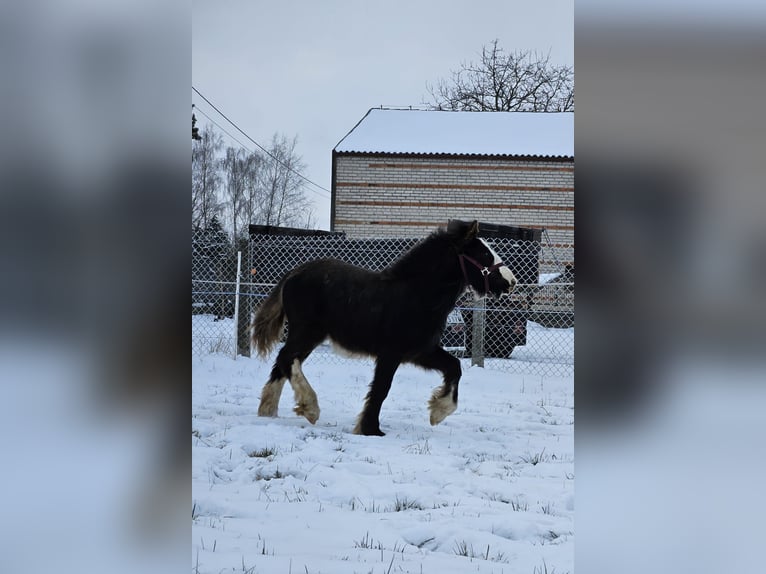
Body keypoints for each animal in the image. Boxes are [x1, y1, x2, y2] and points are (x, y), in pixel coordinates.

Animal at [255, 220, 520, 436]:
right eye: (484, 253)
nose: (511, 281)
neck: (417, 295)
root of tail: (294, 272)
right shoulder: (390, 354)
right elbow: (381, 389)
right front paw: (370, 429)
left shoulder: (421, 351)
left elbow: (454, 367)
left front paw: (437, 412)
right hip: (305, 331)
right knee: (286, 358)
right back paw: (309, 408)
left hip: (310, 336)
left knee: (283, 363)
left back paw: (269, 412)